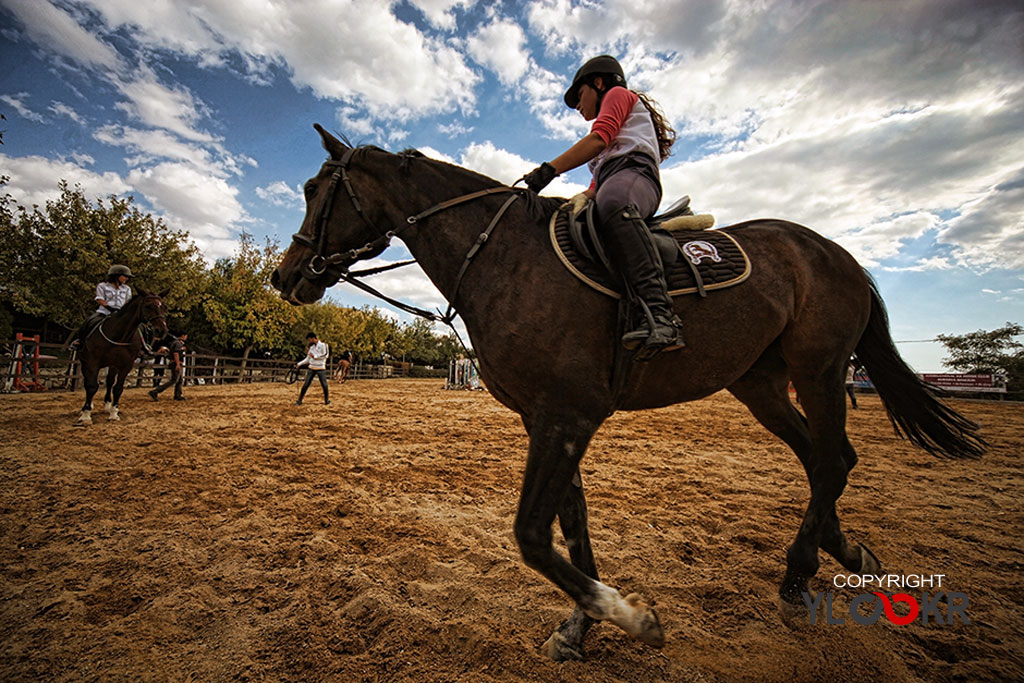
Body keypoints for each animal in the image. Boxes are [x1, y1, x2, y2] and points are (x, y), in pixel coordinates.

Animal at [76, 290, 167, 423]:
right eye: (148, 306)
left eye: (163, 307)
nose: (161, 330)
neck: (119, 335)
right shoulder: (93, 362)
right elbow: (91, 386)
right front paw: (86, 415)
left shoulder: (126, 365)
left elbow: (118, 388)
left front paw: (114, 413)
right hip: (85, 362)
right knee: (88, 381)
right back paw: (89, 406)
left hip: (113, 365)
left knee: (109, 381)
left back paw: (107, 405)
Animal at [272, 124, 983, 663]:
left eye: (315, 189)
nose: (287, 275)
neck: (504, 257)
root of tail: (833, 251)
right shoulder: (545, 417)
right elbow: (573, 525)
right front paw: (581, 626)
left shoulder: (567, 415)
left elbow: (534, 534)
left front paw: (630, 617)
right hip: (761, 385)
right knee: (824, 461)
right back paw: (839, 553)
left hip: (819, 370)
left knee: (833, 460)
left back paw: (796, 573)